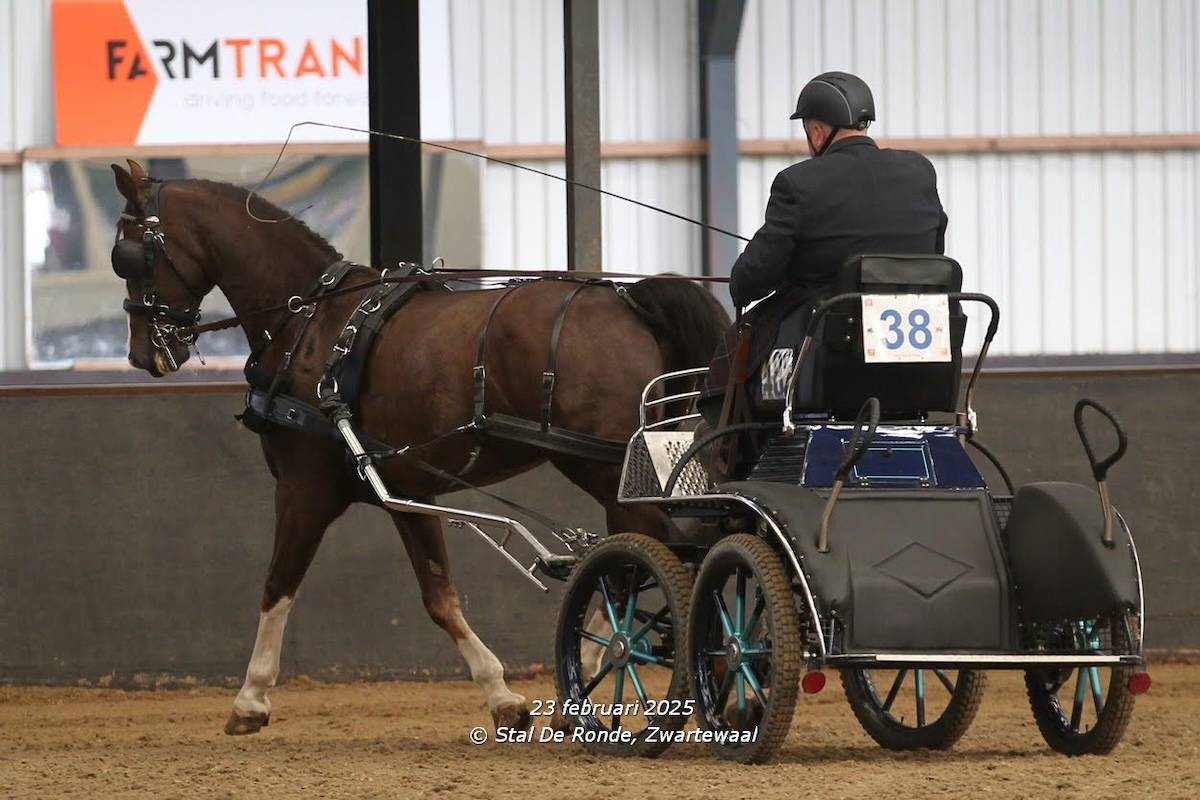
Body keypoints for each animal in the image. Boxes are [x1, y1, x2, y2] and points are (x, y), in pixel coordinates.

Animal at [109, 160, 729, 736]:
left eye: (130, 255)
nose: (142, 353)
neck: (311, 323)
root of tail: (629, 300)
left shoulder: (304, 490)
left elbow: (277, 586)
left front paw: (250, 698)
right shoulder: (406, 489)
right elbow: (439, 596)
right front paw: (502, 697)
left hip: (601, 467)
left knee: (656, 554)